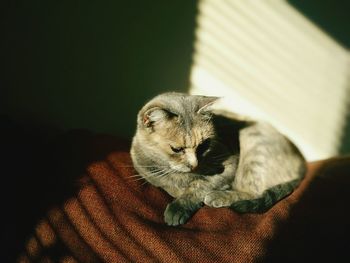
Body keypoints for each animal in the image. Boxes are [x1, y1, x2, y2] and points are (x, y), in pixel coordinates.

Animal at [130, 93, 304, 227]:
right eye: (177, 149)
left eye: (203, 145)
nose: (194, 165)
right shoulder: (145, 170)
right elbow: (163, 182)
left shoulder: (230, 165)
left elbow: (199, 185)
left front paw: (179, 206)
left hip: (253, 144)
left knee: (254, 192)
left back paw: (218, 196)